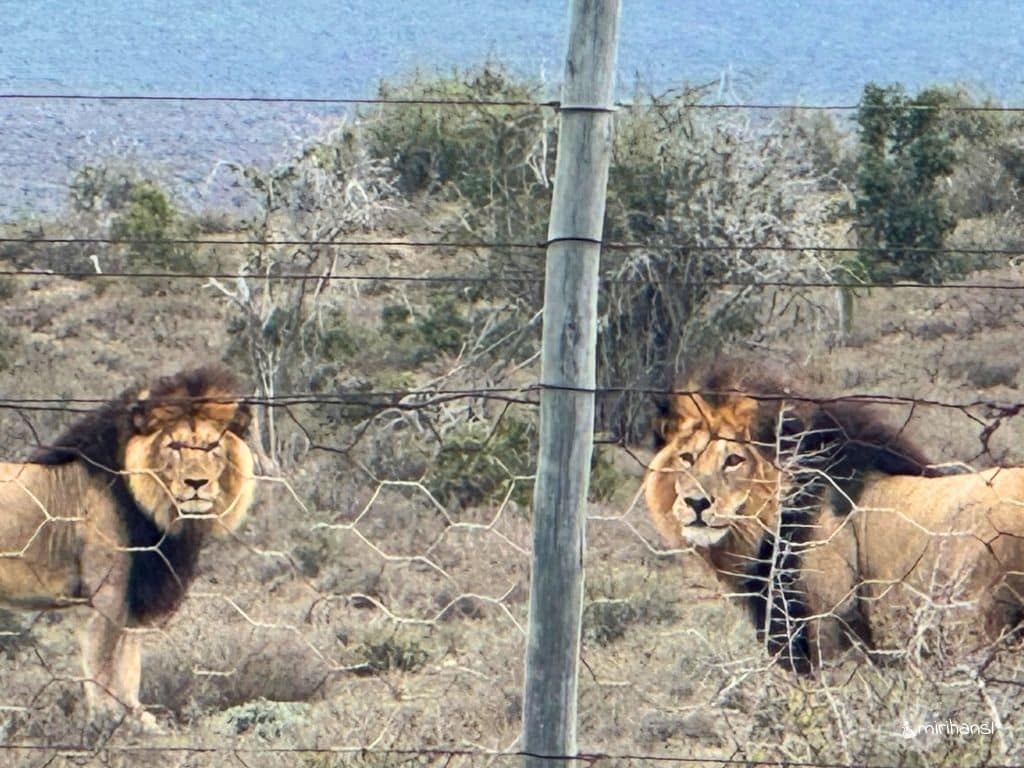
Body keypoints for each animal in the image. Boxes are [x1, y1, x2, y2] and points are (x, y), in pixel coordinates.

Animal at [0, 366, 255, 729]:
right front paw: (108, 721)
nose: (196, 483)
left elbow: (129, 661)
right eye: (174, 446)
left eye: (212, 447)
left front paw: (137, 718)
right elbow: (103, 660)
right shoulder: (107, 591)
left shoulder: (134, 591)